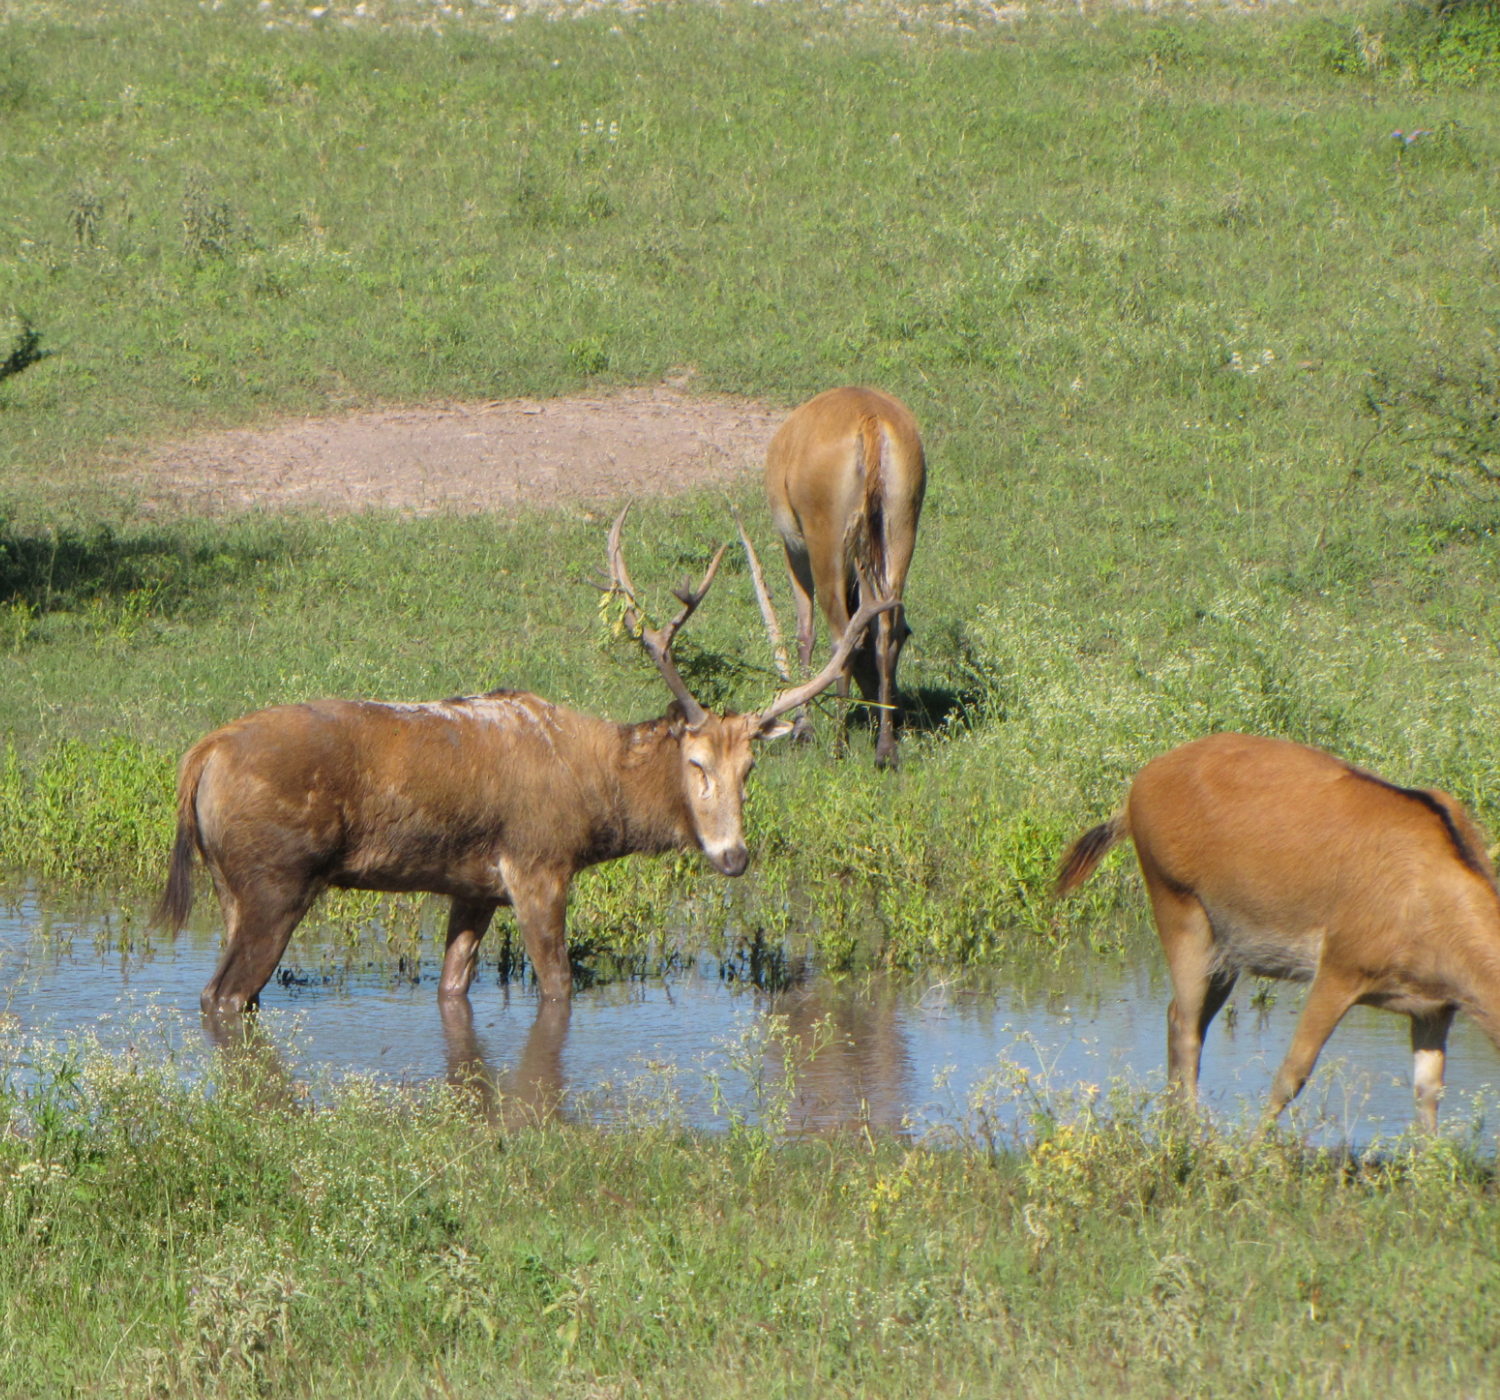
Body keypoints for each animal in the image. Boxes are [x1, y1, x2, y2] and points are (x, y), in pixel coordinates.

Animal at [158, 504, 894, 1014]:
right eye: (697, 765)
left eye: (749, 769)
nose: (733, 855)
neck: (597, 803)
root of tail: (203, 755)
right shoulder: (538, 863)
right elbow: (559, 986)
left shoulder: (473, 886)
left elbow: (453, 988)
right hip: (274, 879)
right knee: (223, 994)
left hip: (230, 884)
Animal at [768, 382, 918, 765]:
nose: (899, 709)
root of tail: (870, 423)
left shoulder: (793, 546)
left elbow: (804, 632)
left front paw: (802, 728)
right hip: (900, 530)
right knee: (885, 627)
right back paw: (885, 747)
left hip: (827, 541)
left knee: (842, 634)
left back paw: (838, 743)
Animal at [1050, 726, 1500, 1128]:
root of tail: (1137, 790)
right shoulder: (1339, 970)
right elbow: (1291, 1073)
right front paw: (1251, 1156)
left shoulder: (1434, 1008)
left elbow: (1428, 1094)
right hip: (1181, 914)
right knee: (1187, 1028)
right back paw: (1191, 1136)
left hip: (1225, 954)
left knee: (1180, 1015)